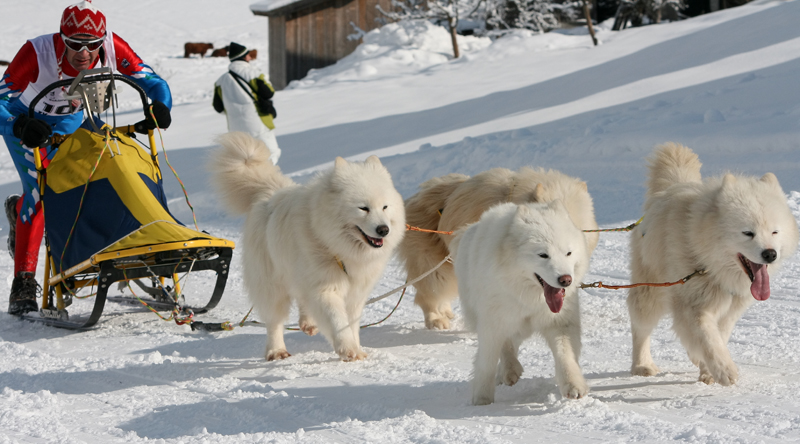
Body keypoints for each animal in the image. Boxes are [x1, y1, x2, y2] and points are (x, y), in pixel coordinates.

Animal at [211, 131, 406, 360]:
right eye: (363, 208)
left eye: (385, 207)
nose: (384, 230)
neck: (335, 246)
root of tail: (270, 192)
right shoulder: (325, 289)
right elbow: (337, 321)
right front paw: (348, 349)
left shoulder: (354, 294)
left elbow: (350, 324)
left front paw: (356, 348)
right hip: (272, 285)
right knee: (275, 320)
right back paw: (276, 350)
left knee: (301, 301)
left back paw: (308, 323)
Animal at [454, 201, 592, 406]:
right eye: (543, 255)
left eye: (568, 253)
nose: (566, 280)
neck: (530, 299)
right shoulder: (492, 324)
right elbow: (487, 362)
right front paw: (482, 400)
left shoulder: (559, 323)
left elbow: (565, 355)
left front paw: (573, 386)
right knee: (506, 347)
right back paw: (510, 371)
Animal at [628, 143, 796, 386]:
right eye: (748, 233)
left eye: (775, 231)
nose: (770, 254)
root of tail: (672, 187)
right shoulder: (692, 305)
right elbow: (707, 338)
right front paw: (724, 370)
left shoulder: (729, 310)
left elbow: (718, 337)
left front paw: (708, 372)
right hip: (650, 292)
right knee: (640, 329)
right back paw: (642, 365)